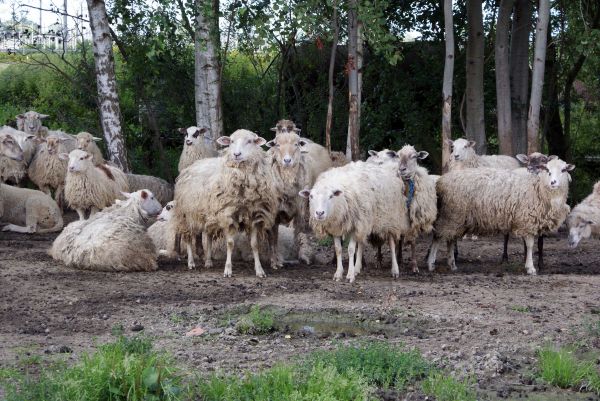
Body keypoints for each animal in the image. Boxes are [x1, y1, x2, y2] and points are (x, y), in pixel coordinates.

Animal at [172, 128, 280, 276]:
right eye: (231, 141)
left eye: (250, 141)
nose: (236, 154)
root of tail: (192, 165)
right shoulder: (227, 214)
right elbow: (230, 243)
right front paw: (228, 269)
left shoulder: (253, 215)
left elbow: (254, 245)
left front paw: (259, 270)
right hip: (187, 213)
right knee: (188, 237)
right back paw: (191, 262)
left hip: (208, 213)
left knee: (208, 236)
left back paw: (208, 261)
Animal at [426, 158, 572, 274]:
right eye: (547, 170)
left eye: (564, 170)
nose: (553, 182)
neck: (539, 188)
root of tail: (441, 180)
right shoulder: (527, 220)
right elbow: (530, 245)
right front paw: (530, 268)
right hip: (451, 214)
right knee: (438, 237)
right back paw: (431, 264)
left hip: (457, 218)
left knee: (450, 239)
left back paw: (452, 265)